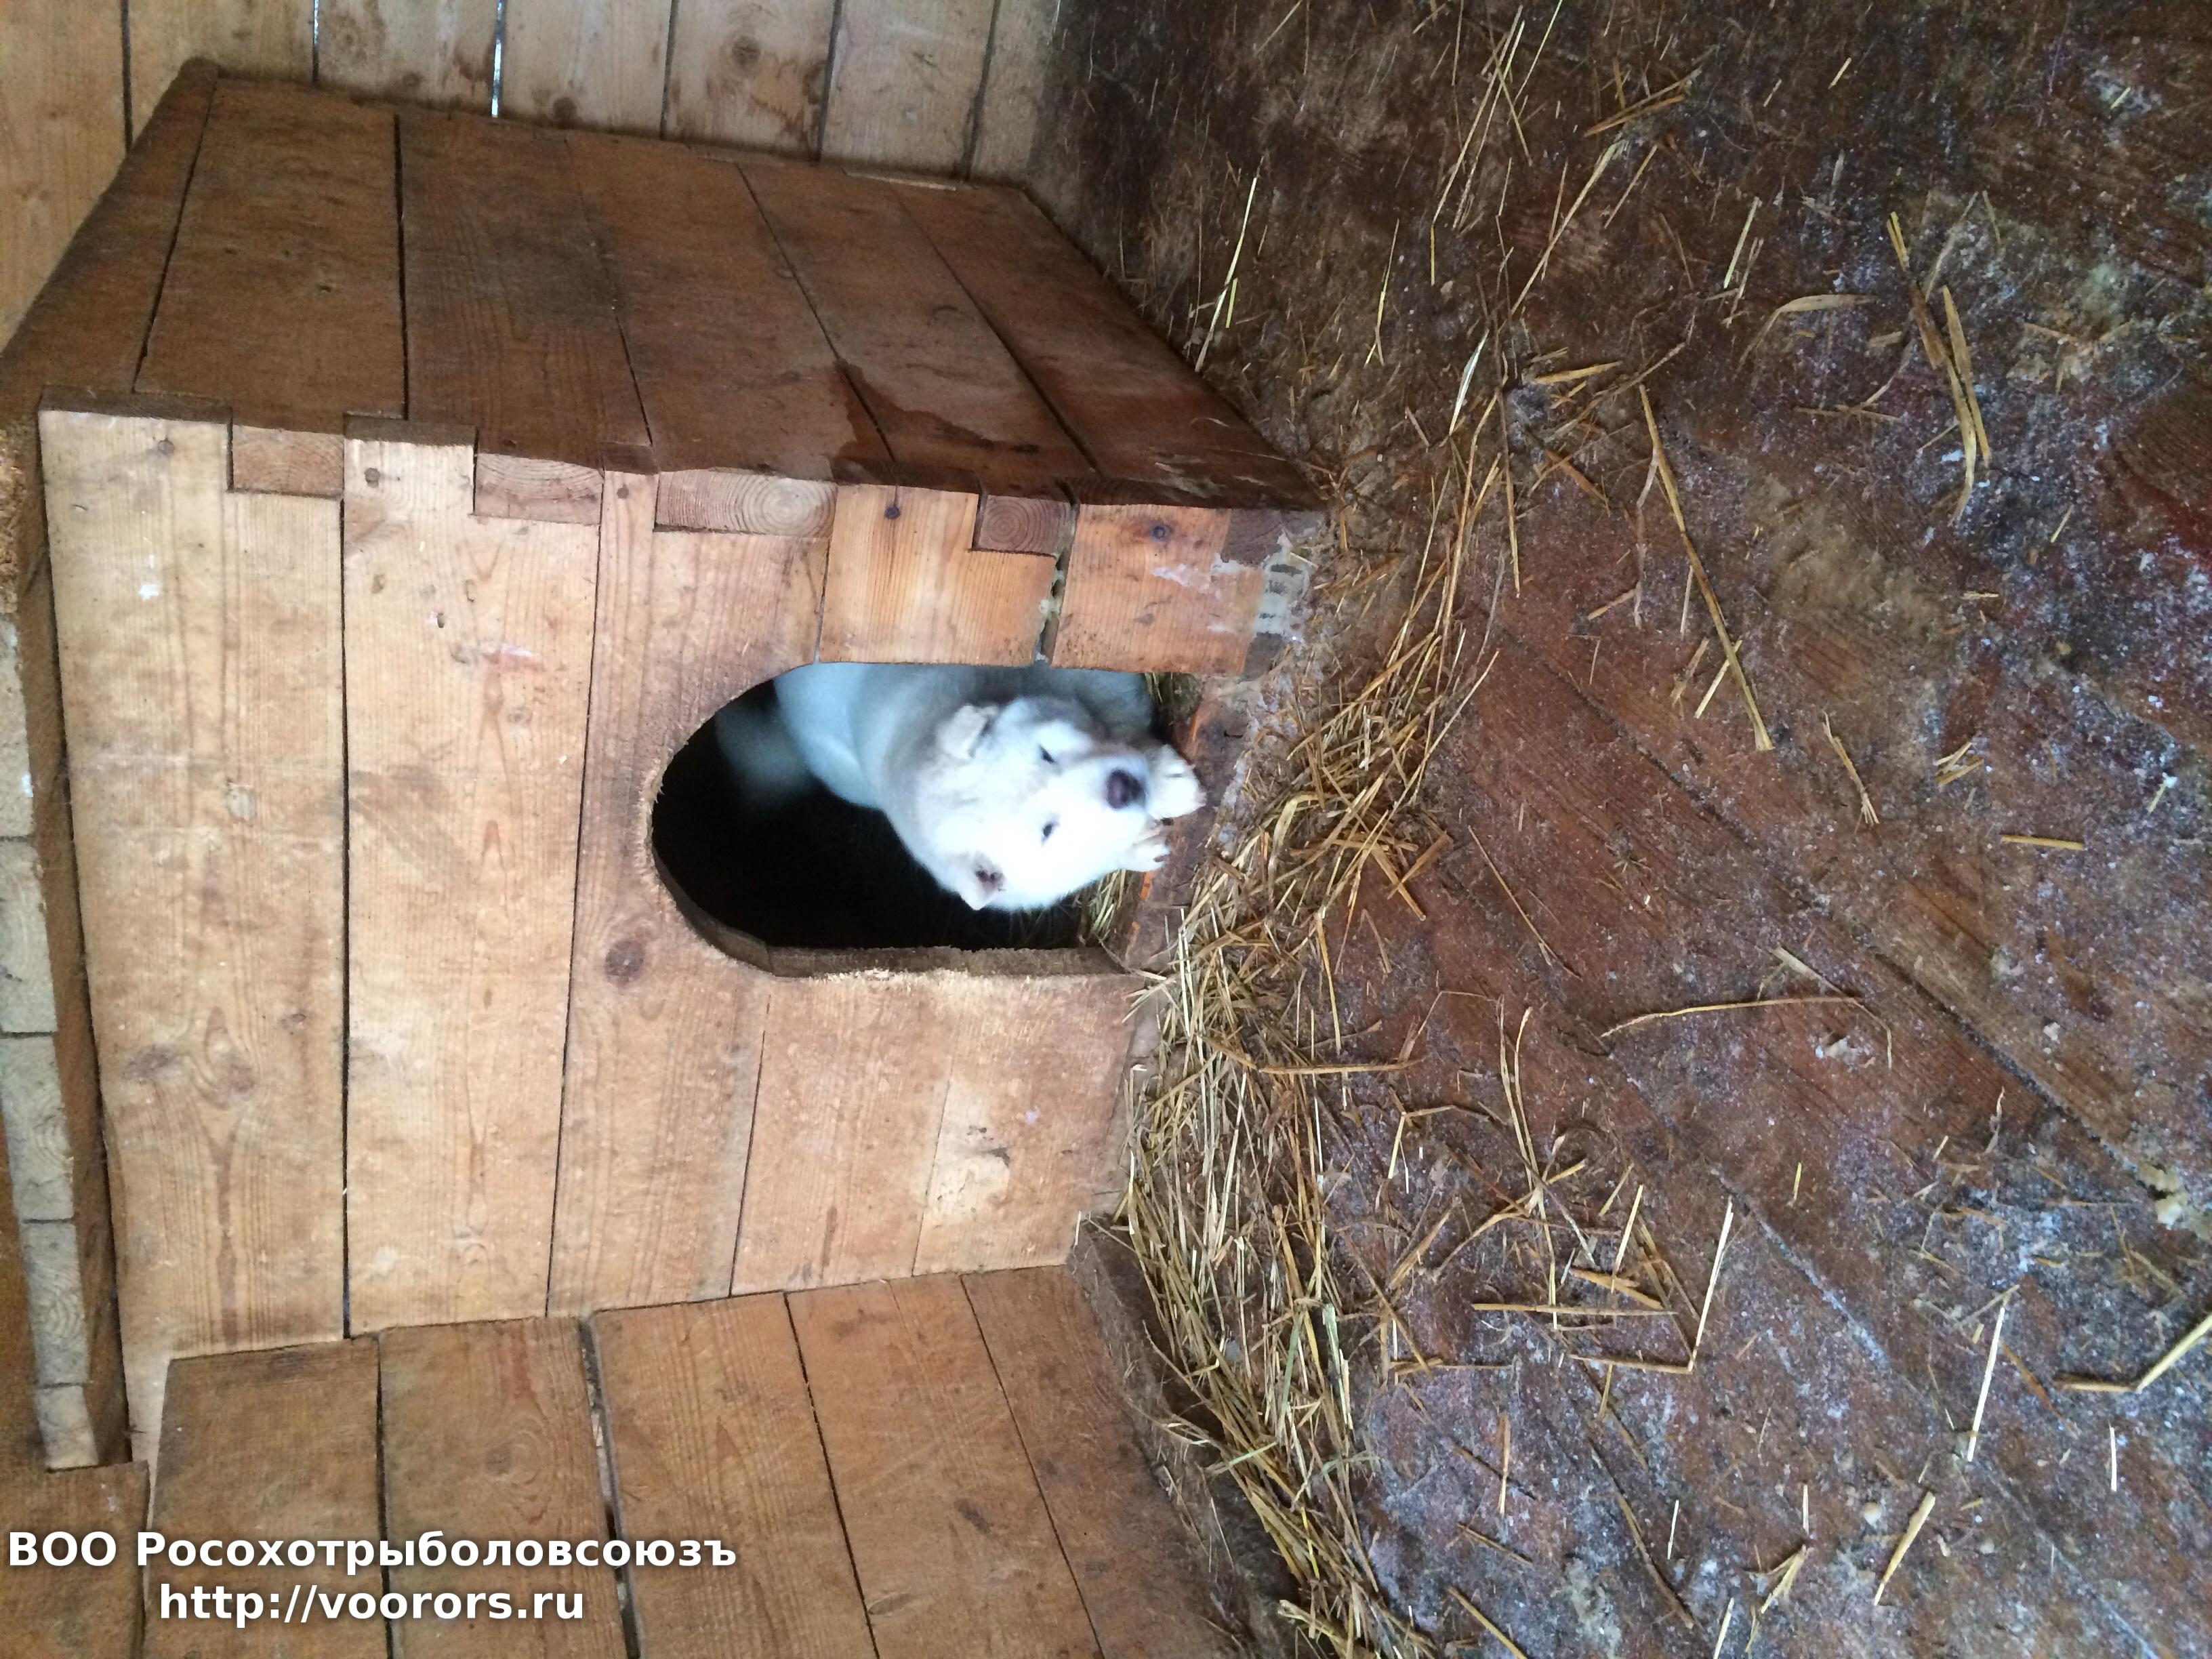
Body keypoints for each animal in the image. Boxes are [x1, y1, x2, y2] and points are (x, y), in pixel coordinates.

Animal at [713, 663, 1204, 911]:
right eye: (1047, 831)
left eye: (1046, 752)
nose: (1125, 787)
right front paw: (1138, 844)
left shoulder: (1082, 678)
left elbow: (1117, 717)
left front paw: (1165, 779)